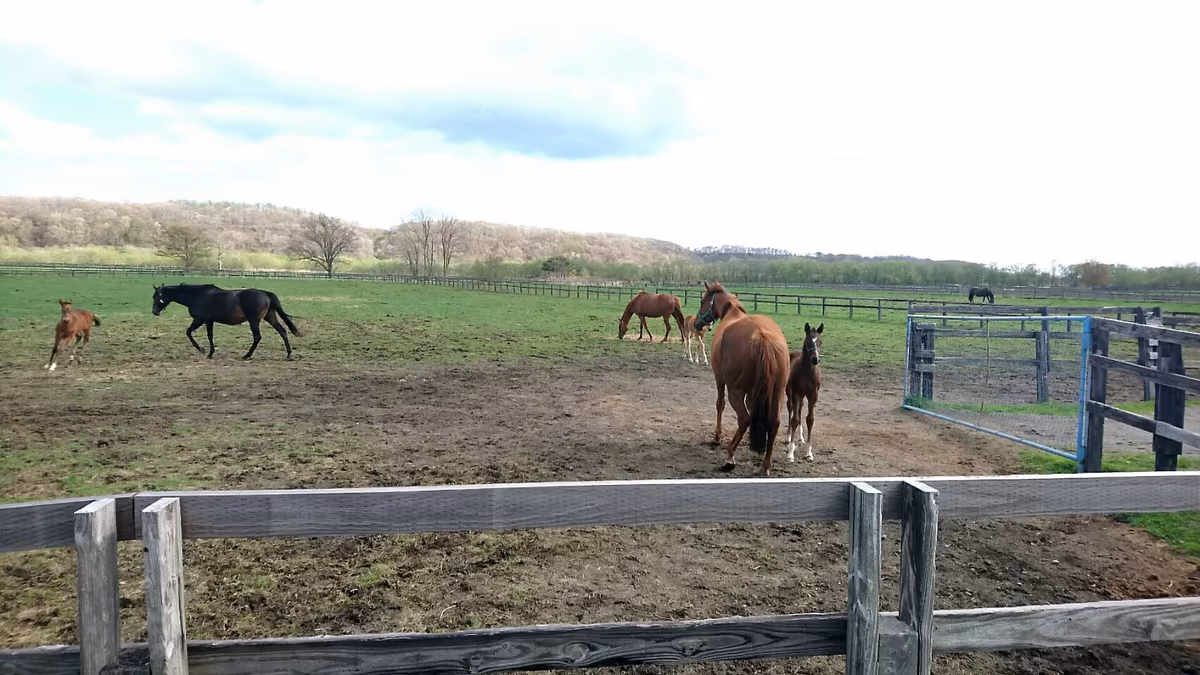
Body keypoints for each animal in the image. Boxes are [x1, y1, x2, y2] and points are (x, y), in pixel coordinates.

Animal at [151, 283, 302, 360]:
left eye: (156, 296)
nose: (154, 312)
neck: (196, 296)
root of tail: (265, 293)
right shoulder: (209, 321)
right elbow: (210, 336)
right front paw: (210, 353)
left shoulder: (199, 319)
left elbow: (188, 332)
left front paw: (202, 350)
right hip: (270, 317)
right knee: (282, 331)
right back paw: (288, 355)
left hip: (254, 320)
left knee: (257, 337)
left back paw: (247, 355)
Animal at [694, 281, 790, 475]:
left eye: (702, 301)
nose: (696, 323)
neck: (732, 314)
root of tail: (761, 336)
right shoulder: (755, 391)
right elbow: (756, 411)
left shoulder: (720, 380)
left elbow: (720, 405)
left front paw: (717, 437)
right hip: (778, 392)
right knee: (774, 422)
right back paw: (765, 464)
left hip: (735, 392)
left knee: (744, 418)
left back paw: (730, 457)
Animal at [785, 322, 823, 463]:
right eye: (808, 341)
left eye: (820, 341)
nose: (815, 360)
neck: (807, 372)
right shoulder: (796, 393)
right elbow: (794, 419)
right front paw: (791, 452)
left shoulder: (813, 395)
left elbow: (810, 419)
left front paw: (809, 453)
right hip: (790, 392)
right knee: (791, 409)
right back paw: (789, 436)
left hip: (803, 396)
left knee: (800, 408)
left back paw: (800, 437)